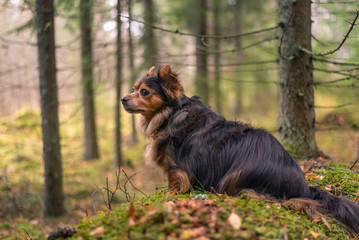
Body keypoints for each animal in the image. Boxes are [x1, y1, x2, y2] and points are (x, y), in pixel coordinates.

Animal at [121, 64, 359, 233]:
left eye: (144, 92)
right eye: (132, 89)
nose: (123, 99)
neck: (171, 112)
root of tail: (304, 188)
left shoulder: (177, 170)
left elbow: (174, 187)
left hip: (236, 175)